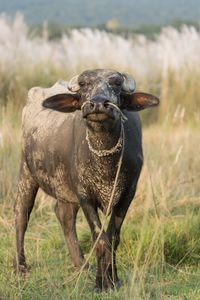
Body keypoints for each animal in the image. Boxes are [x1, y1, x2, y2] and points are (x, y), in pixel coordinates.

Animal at [14, 68, 159, 290]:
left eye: (116, 84)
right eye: (84, 85)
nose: (98, 104)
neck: (105, 159)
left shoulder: (127, 195)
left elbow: (113, 238)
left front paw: (114, 279)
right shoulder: (85, 195)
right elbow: (99, 239)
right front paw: (102, 283)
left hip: (64, 189)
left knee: (64, 216)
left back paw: (81, 265)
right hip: (26, 171)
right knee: (22, 214)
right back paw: (21, 267)